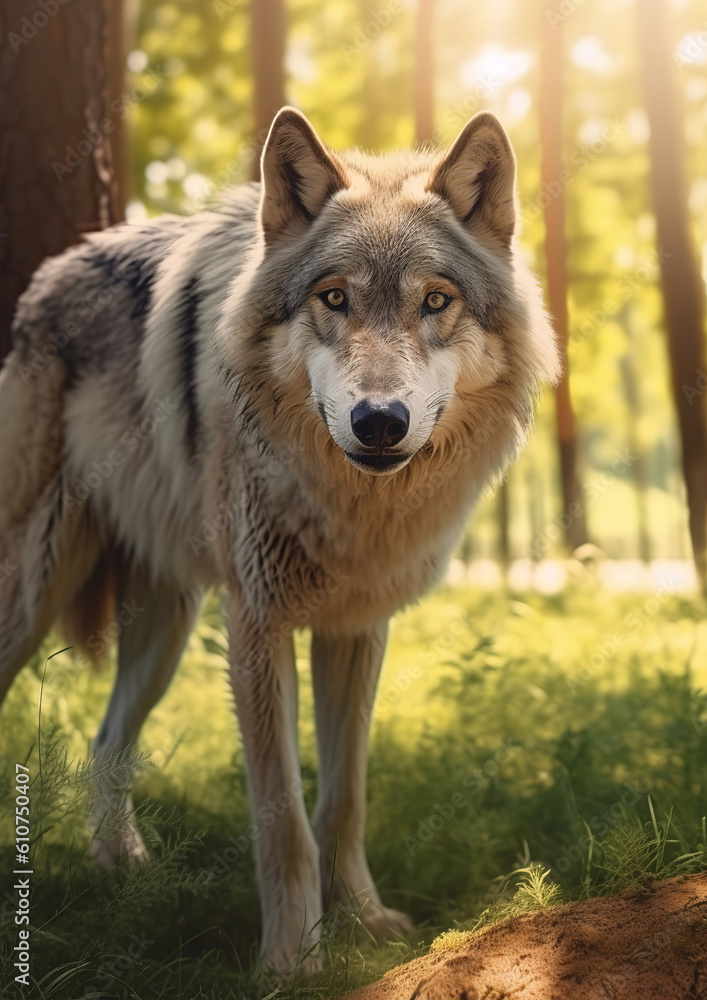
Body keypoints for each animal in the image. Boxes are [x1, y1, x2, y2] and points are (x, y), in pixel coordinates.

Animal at [0, 107, 559, 977]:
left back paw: (123, 873)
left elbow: (343, 799)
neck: (353, 510)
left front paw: (363, 922)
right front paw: (292, 958)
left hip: (164, 632)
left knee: (105, 739)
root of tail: (49, 273)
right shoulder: (257, 625)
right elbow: (282, 813)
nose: (378, 421)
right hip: (37, 594)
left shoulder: (356, 629)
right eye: (333, 298)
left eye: (435, 301)